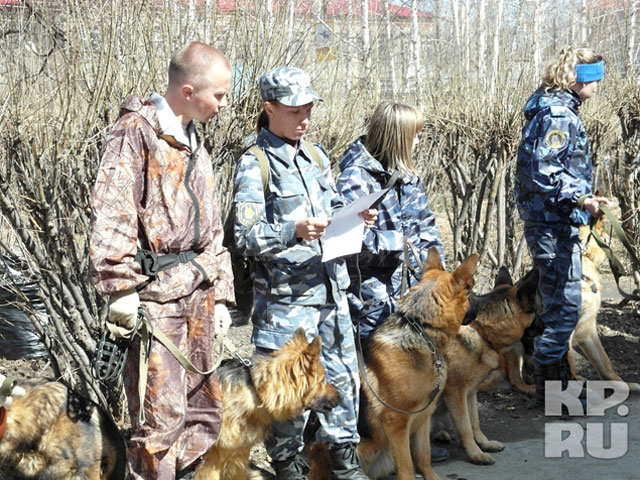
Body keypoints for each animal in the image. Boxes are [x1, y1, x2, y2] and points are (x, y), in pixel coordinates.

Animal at [344, 248, 476, 480]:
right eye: (469, 292)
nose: (480, 308)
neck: (421, 329)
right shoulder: (396, 423)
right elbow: (406, 466)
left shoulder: (423, 415)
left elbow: (424, 458)